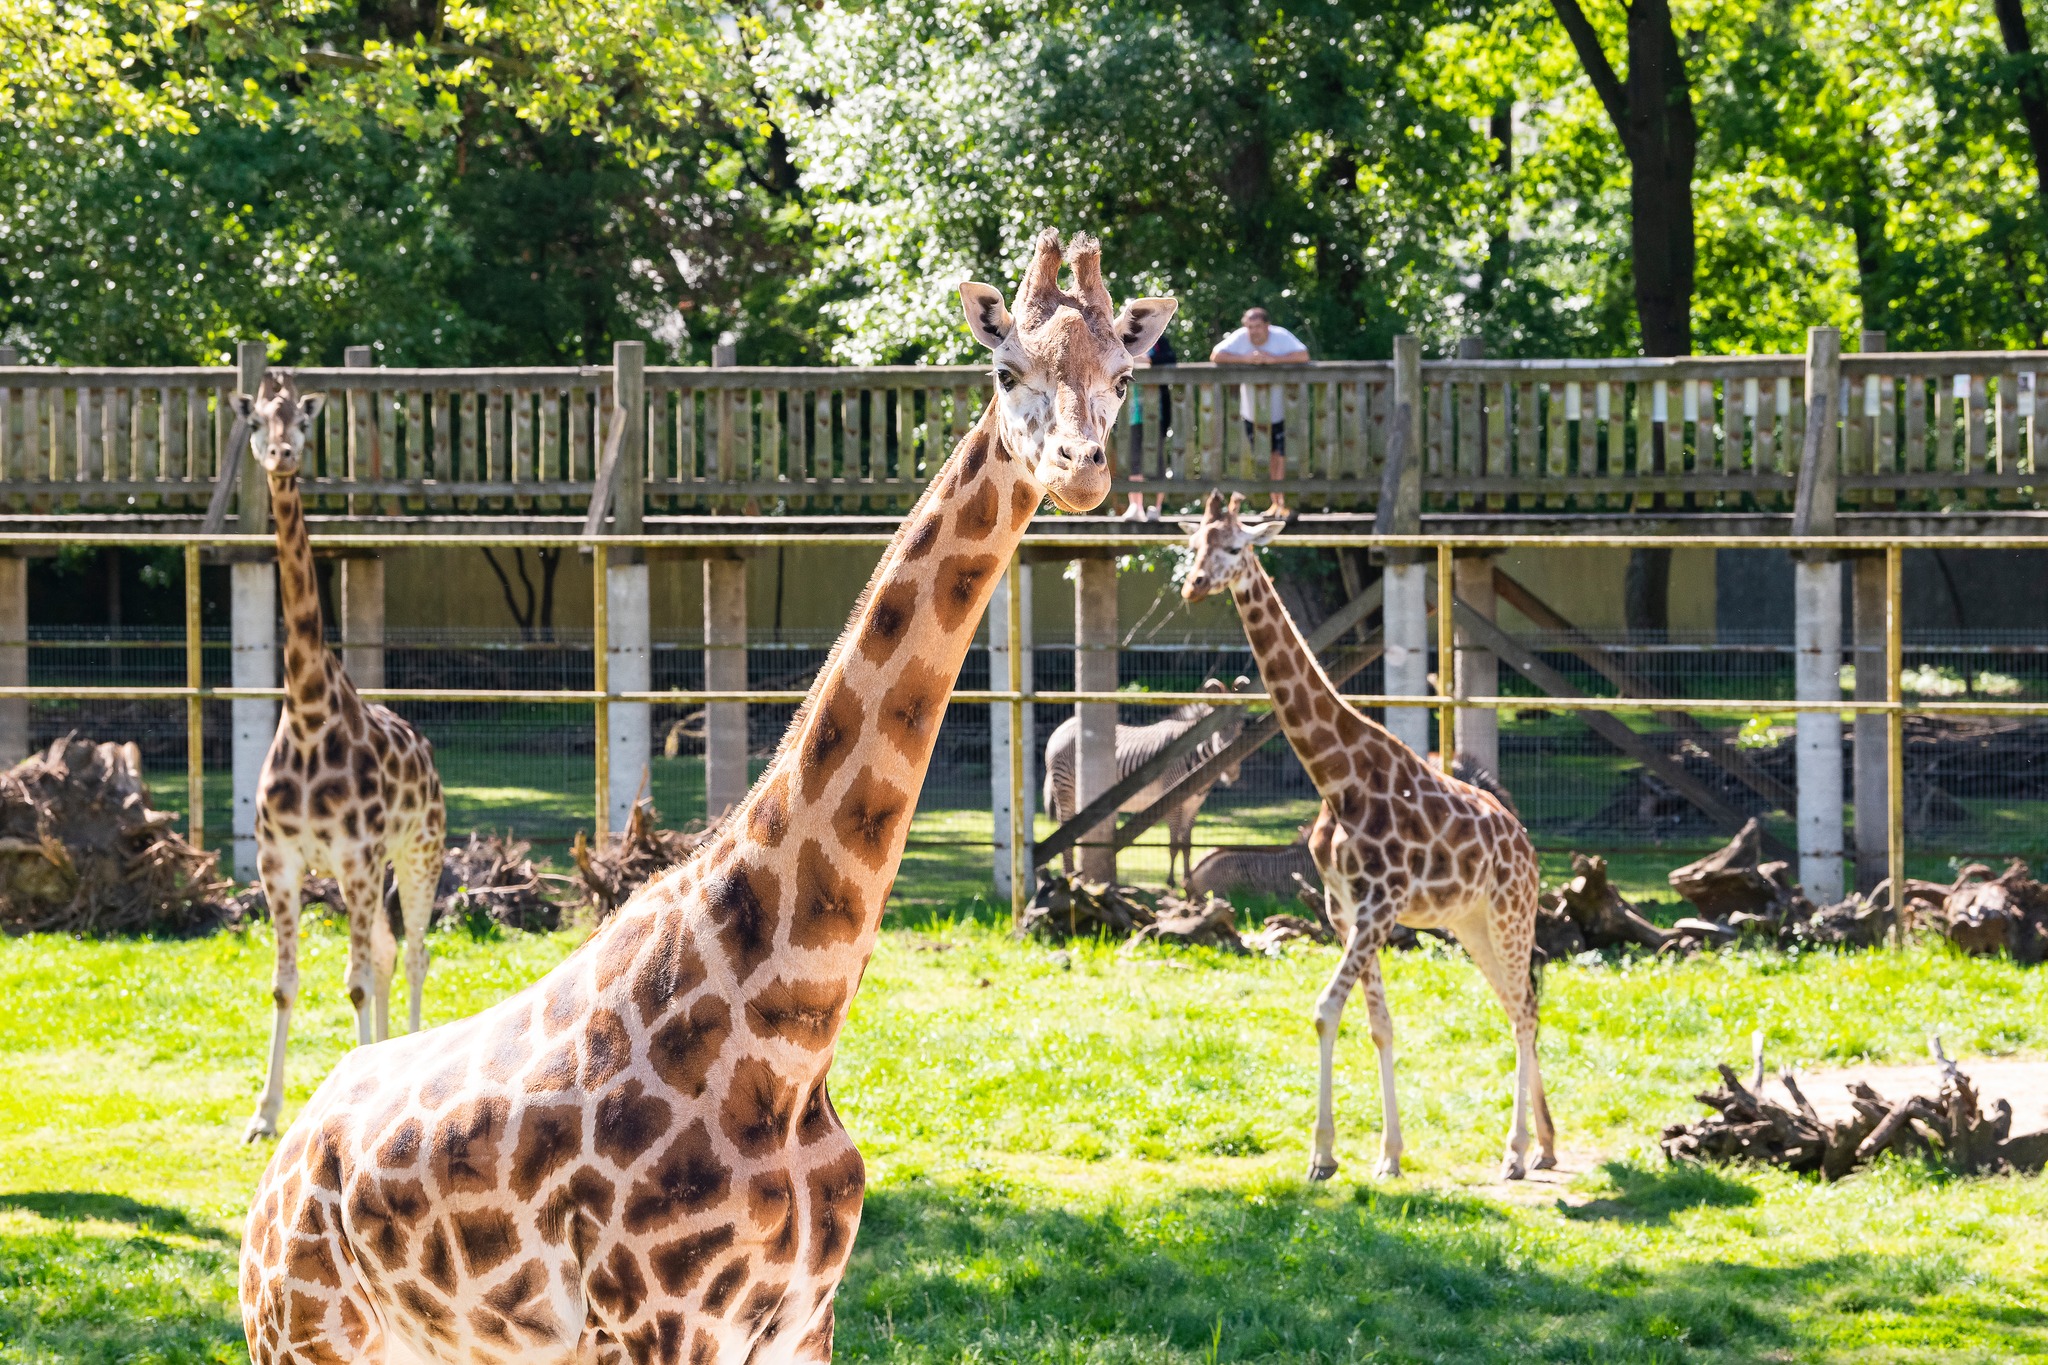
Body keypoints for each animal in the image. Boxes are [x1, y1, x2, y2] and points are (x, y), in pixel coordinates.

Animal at [235, 370, 452, 1146]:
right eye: (256, 421)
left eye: (303, 418)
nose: (283, 455)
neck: (306, 713)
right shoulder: (279, 861)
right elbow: (284, 984)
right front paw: (264, 1114)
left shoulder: (357, 858)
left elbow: (355, 982)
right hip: (372, 870)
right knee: (386, 954)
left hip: (419, 851)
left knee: (412, 952)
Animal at [1040, 679, 1245, 888]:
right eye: (1220, 729)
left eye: (1242, 727)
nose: (1232, 772)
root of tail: (1062, 726)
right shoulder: (1172, 799)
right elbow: (1174, 843)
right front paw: (1171, 882)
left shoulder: (1194, 804)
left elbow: (1187, 844)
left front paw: (1188, 880)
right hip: (1064, 788)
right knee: (1063, 827)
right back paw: (1068, 875)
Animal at [1179, 493, 1556, 1186]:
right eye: (1195, 546)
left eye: (1236, 547)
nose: (1193, 586)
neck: (1337, 778)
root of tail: (1526, 846)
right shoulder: (1347, 910)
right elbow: (1379, 1023)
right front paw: (1386, 1154)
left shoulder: (1379, 907)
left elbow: (1326, 1010)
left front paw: (1322, 1155)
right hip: (1471, 924)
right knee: (1517, 1003)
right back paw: (1545, 1144)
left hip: (1510, 913)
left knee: (1523, 1009)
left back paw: (1516, 1153)